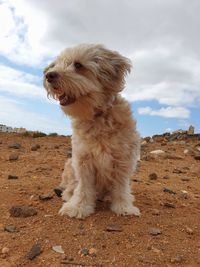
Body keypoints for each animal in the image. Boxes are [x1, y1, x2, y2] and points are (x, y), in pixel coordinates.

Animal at [43, 44, 141, 220]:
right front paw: (77, 207)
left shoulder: (123, 159)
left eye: (78, 65)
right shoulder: (83, 160)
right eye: (56, 64)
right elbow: (83, 188)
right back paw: (68, 195)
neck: (97, 117)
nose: (48, 75)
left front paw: (124, 207)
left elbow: (121, 187)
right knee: (71, 186)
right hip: (69, 165)